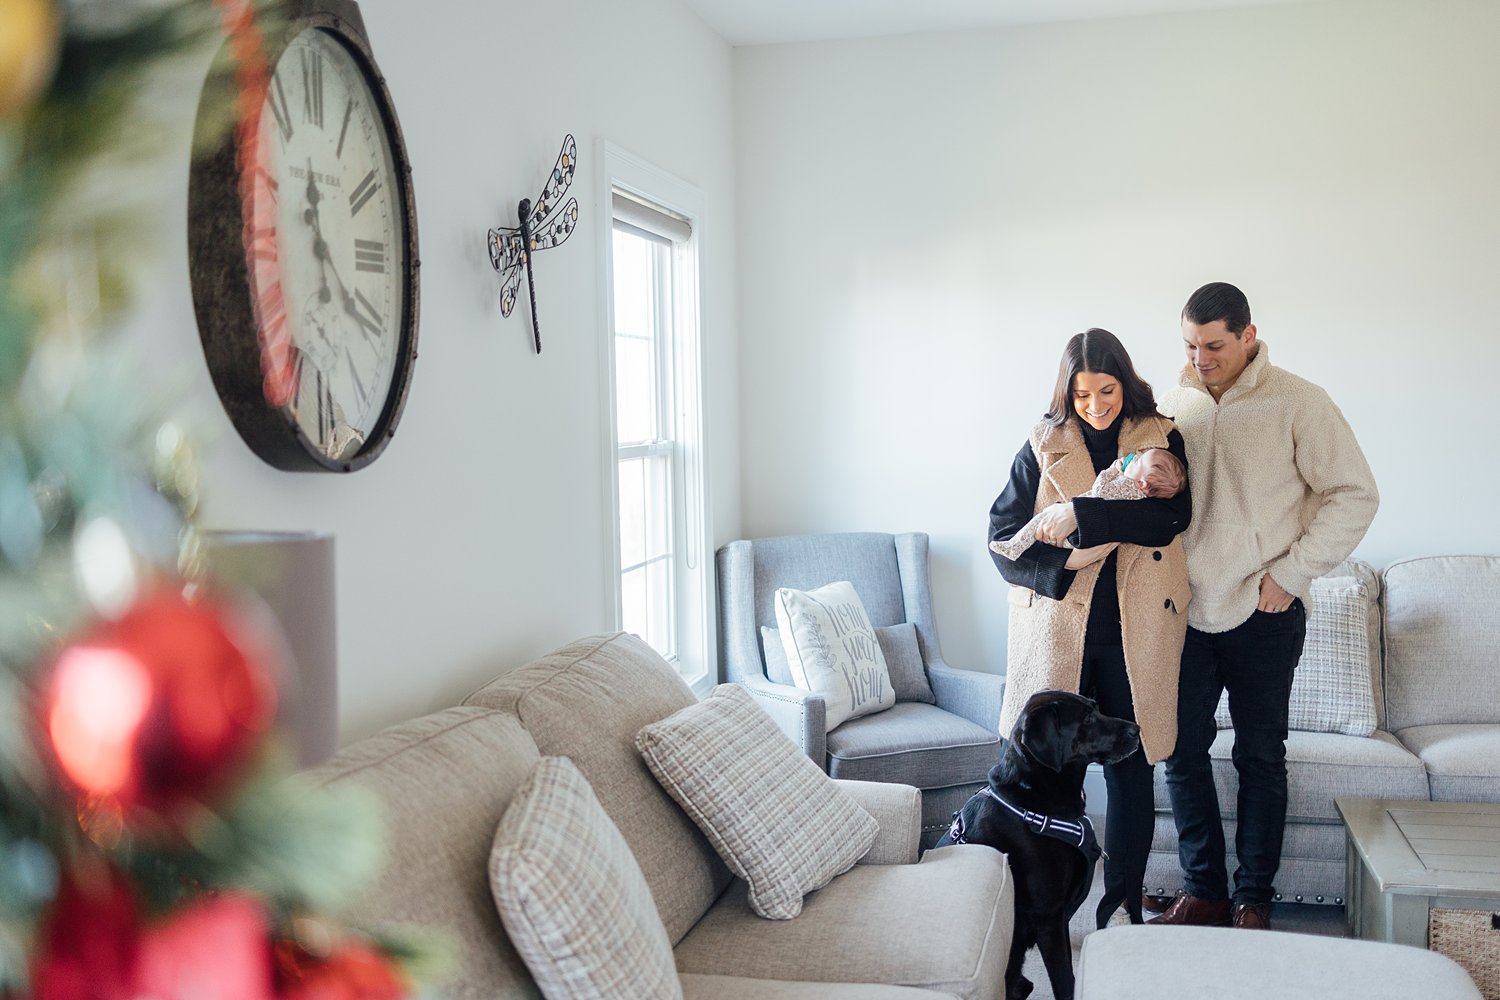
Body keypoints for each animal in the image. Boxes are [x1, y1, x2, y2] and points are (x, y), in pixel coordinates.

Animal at [936, 692, 1134, 1000]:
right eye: (1087, 718)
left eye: (1096, 707)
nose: (1136, 730)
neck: (1036, 799)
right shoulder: (1048, 917)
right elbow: (1064, 981)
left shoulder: (1060, 917)